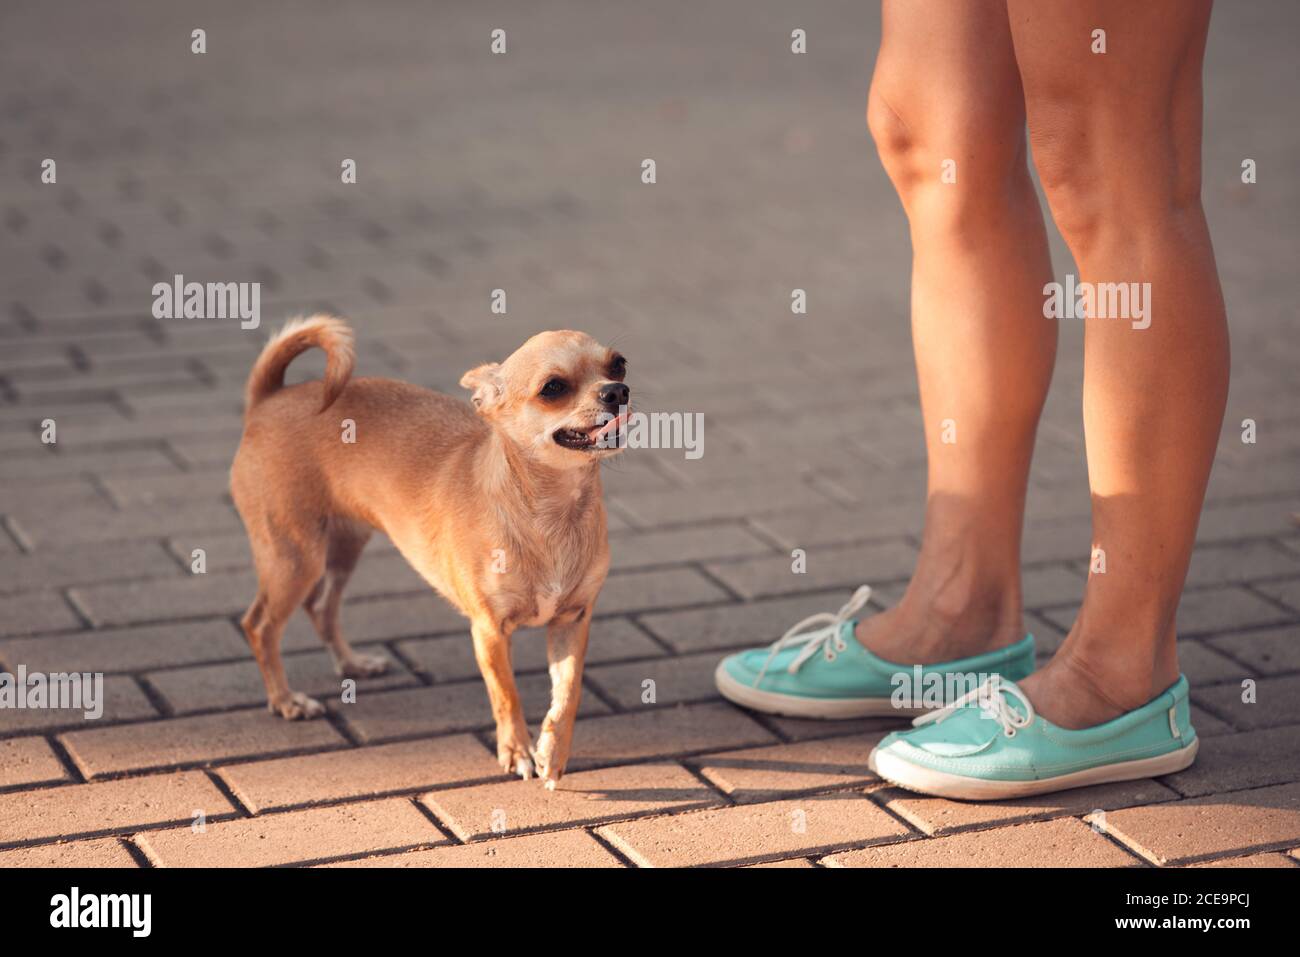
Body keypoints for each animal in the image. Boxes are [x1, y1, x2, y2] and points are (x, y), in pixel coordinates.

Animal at [230, 314, 629, 785]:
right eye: (553, 388)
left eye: (619, 365)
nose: (617, 392)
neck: (552, 514)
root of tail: (269, 398)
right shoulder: (489, 630)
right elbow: (506, 694)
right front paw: (517, 751)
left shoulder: (572, 622)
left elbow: (567, 694)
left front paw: (554, 751)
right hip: (294, 557)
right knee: (260, 625)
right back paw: (285, 700)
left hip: (344, 547)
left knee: (322, 607)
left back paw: (352, 665)